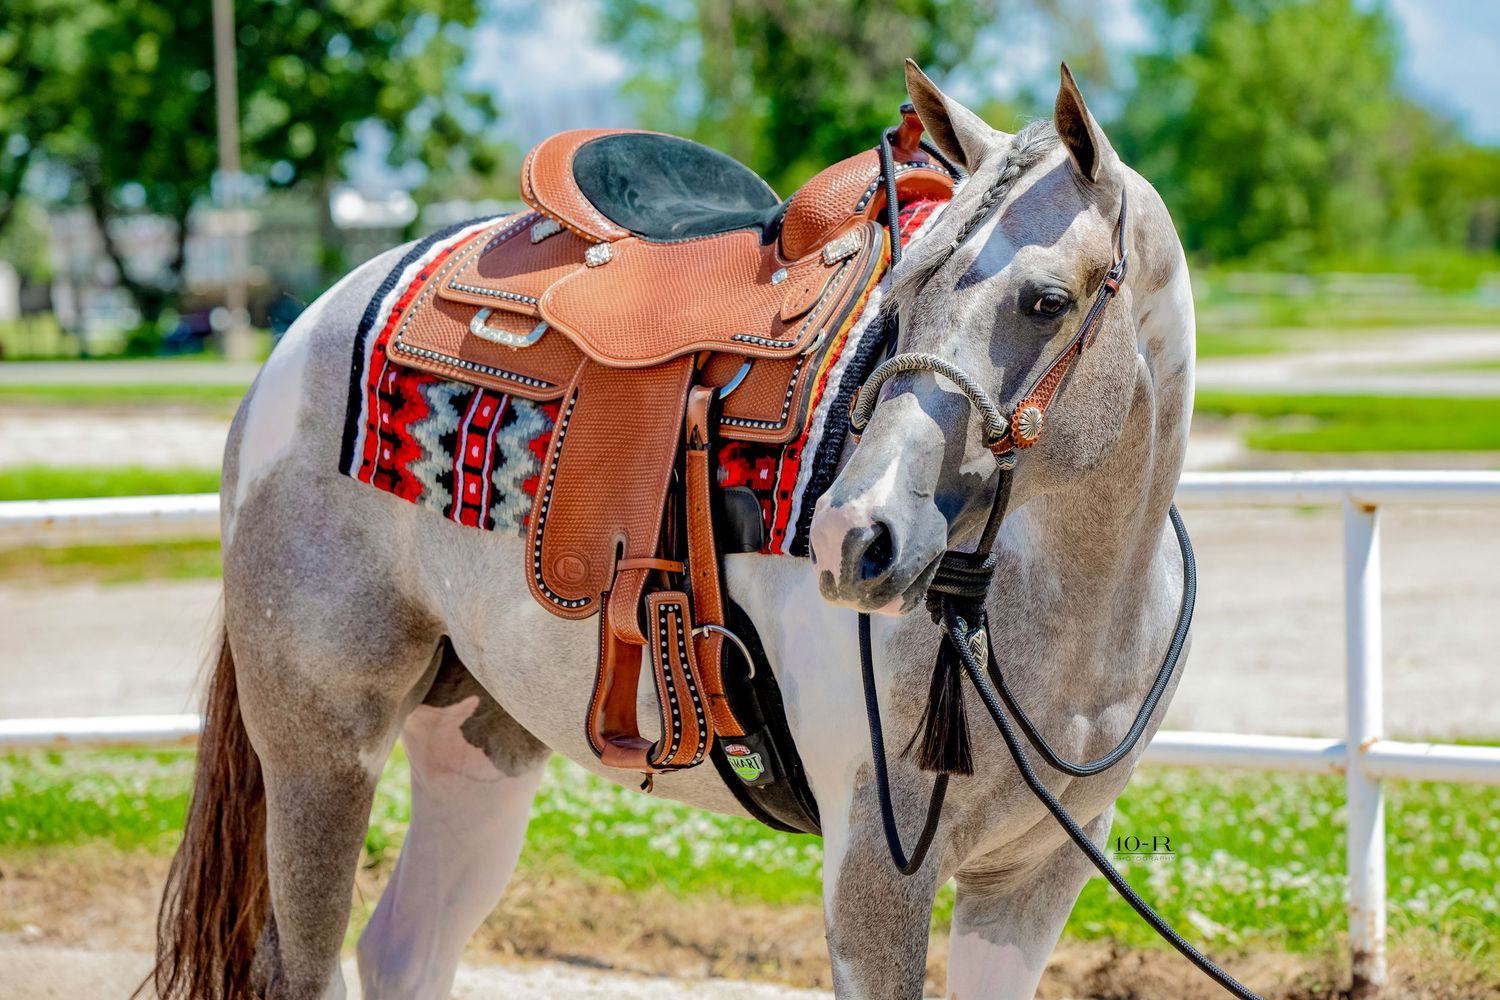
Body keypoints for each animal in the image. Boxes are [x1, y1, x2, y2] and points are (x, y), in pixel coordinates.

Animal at [147, 62, 1195, 1000]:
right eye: (899, 302)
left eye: (1047, 301)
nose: (856, 535)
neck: (1075, 603)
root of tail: (311, 323)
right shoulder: (875, 874)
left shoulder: (1035, 880)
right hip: (320, 743)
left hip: (480, 739)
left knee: (403, 951)